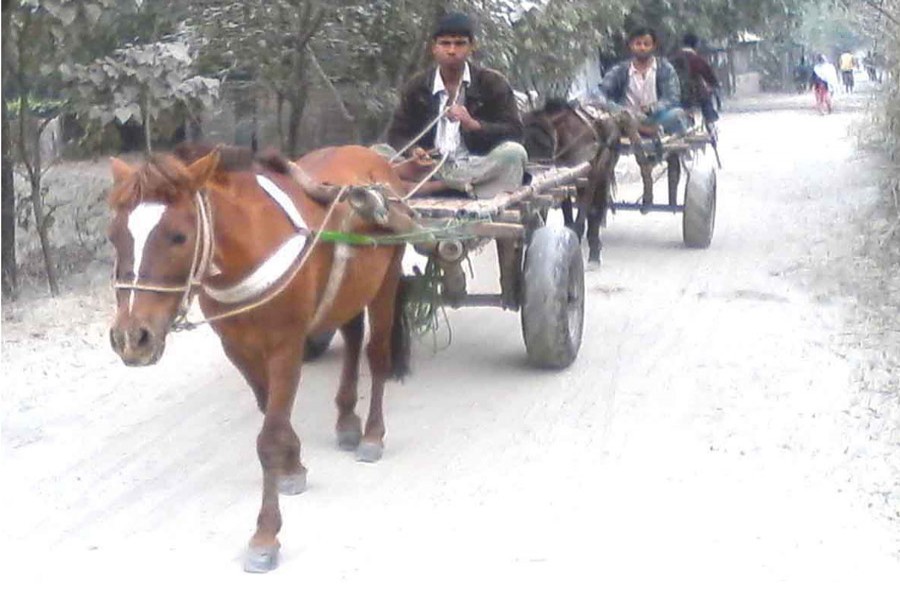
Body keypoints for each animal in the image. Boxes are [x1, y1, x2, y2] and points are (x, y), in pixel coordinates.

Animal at [106, 142, 412, 572]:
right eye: (113, 236)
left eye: (179, 237)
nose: (132, 338)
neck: (252, 247)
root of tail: (374, 157)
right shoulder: (237, 347)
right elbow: (271, 412)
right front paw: (293, 463)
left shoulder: (286, 347)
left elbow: (268, 437)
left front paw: (266, 535)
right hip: (349, 287)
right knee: (352, 338)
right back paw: (347, 419)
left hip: (386, 279)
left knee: (377, 354)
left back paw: (371, 434)